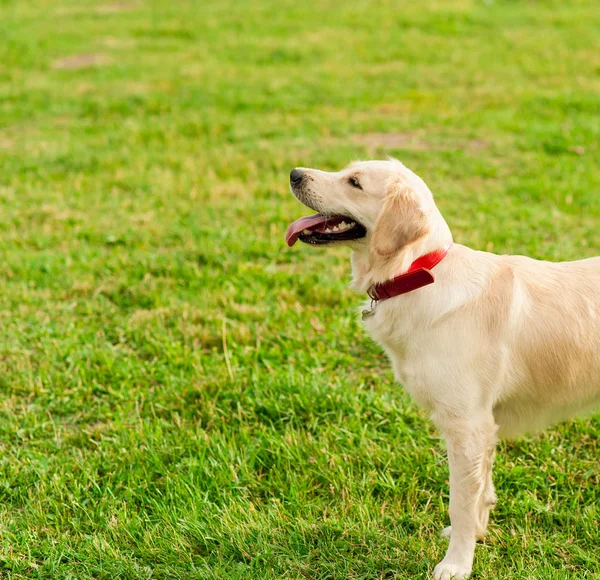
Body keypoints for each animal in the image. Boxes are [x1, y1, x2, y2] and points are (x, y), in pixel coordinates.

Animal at [284, 159, 600, 580]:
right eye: (346, 170)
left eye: (354, 182)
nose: (294, 174)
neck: (418, 275)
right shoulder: (482, 425)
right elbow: (481, 491)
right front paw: (476, 535)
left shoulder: (466, 425)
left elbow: (460, 501)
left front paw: (456, 563)